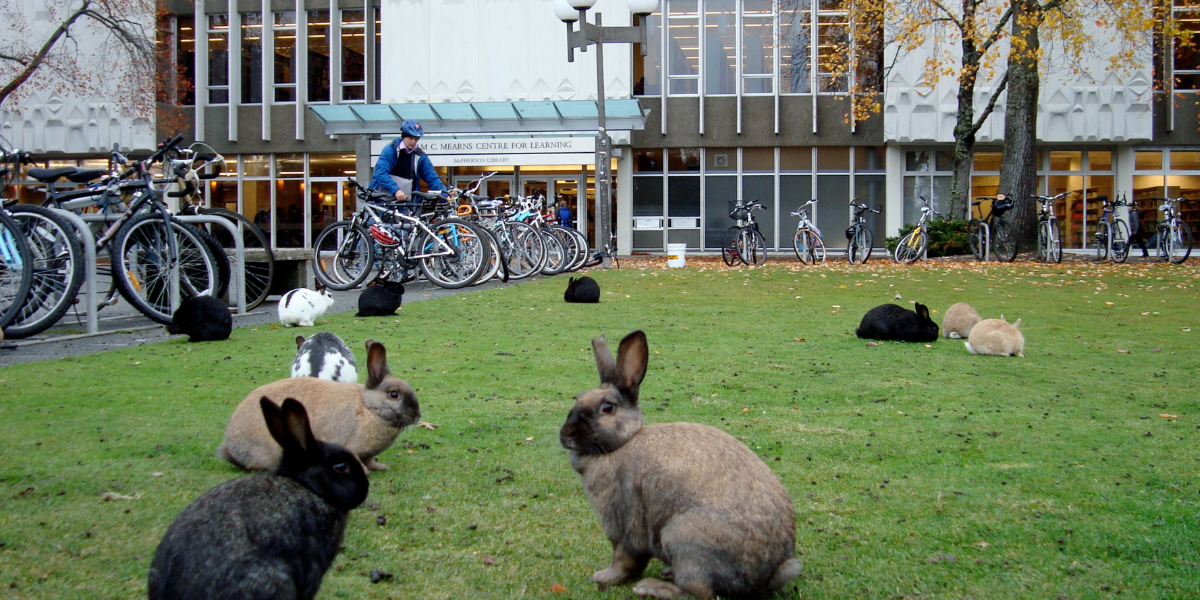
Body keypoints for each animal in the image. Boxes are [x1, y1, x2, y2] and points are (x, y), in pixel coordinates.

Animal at [219, 340, 419, 472]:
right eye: (394, 394)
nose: (417, 415)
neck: (367, 407)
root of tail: (230, 446)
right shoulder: (350, 446)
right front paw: (365, 472)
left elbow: (370, 460)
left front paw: (380, 467)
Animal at [559, 330, 801, 600]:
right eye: (578, 398)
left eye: (607, 407)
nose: (566, 434)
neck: (624, 442)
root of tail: (766, 576)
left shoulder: (622, 527)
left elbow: (624, 560)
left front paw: (604, 577)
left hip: (683, 541)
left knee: (697, 592)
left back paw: (651, 587)